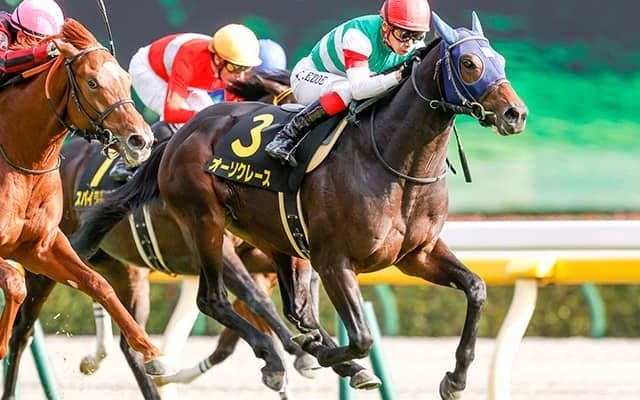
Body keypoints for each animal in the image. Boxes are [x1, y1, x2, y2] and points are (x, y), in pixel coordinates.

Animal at [0, 17, 170, 383]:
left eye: (127, 80)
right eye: (92, 83)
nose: (141, 140)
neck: (20, 158)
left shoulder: (39, 247)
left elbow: (97, 283)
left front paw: (151, 352)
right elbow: (16, 283)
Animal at [2, 71, 326, 400]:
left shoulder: (262, 256)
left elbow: (284, 296)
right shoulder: (215, 246)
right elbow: (257, 299)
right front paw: (302, 354)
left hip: (122, 270)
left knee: (129, 340)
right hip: (45, 259)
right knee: (23, 331)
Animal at [71, 12, 528, 399]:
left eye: (501, 60)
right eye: (469, 63)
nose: (516, 113)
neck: (395, 163)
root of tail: (182, 136)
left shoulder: (417, 255)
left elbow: (476, 288)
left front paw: (456, 378)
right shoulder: (333, 260)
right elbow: (358, 336)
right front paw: (320, 358)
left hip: (267, 238)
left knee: (286, 309)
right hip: (205, 223)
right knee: (212, 301)